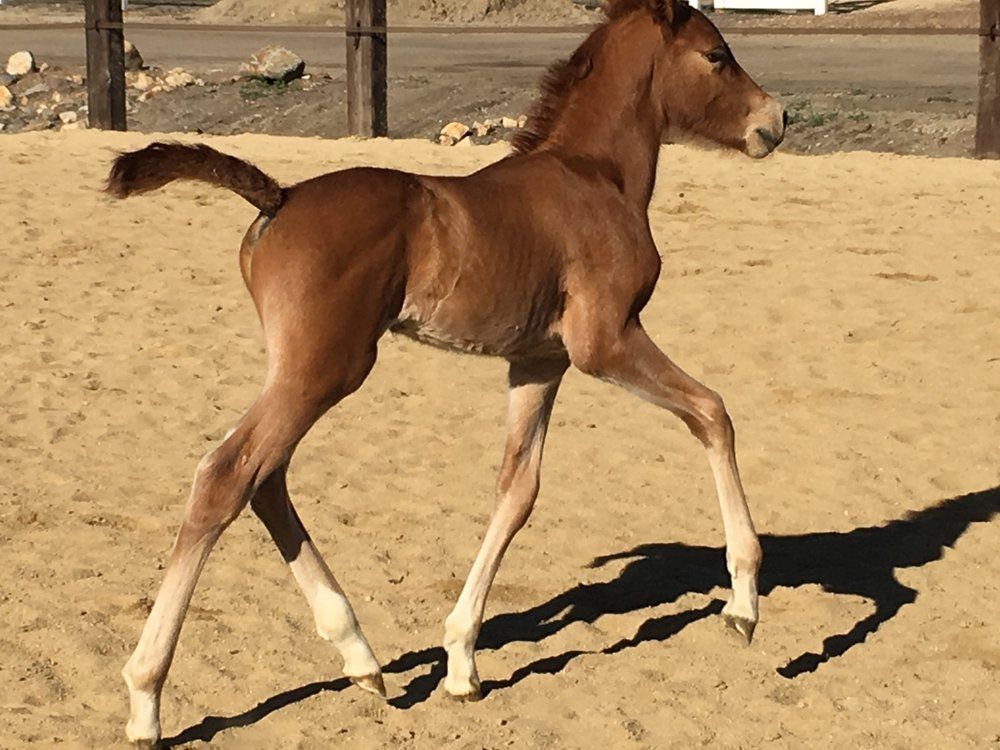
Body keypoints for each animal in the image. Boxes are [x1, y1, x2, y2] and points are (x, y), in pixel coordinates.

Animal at [105, 0, 786, 744]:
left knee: (266, 478)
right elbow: (713, 412)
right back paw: (146, 698)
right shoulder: (604, 342)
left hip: (305, 372)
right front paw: (744, 603)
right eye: (716, 54)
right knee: (228, 475)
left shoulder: (539, 361)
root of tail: (278, 198)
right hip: (325, 368)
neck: (593, 175)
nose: (774, 121)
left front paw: (461, 660)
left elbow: (518, 491)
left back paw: (360, 655)